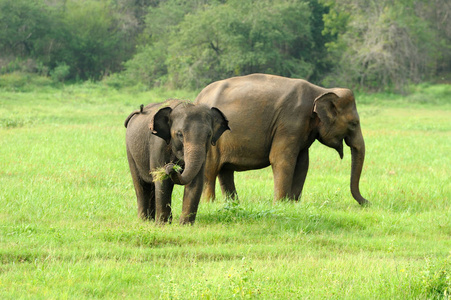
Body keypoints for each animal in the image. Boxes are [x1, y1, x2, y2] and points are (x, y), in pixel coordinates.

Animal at [195, 74, 370, 206]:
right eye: (354, 124)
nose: (368, 202)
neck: (321, 91)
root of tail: (198, 97)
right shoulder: (290, 122)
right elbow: (281, 159)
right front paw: (280, 204)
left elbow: (303, 163)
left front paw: (293, 204)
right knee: (210, 171)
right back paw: (208, 203)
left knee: (225, 171)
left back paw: (233, 203)